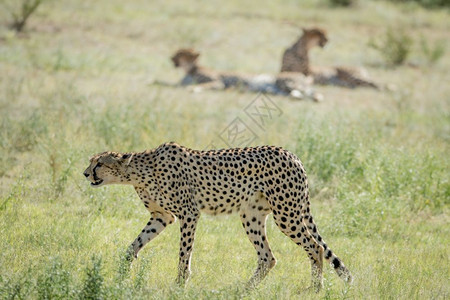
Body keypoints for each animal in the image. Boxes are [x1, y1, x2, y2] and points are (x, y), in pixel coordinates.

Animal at [83, 142, 352, 290]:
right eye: (91, 161)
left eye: (99, 163)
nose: (85, 173)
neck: (140, 172)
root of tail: (291, 154)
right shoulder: (162, 216)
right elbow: (134, 245)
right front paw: (121, 271)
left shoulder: (189, 214)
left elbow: (184, 253)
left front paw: (180, 284)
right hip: (251, 215)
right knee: (268, 257)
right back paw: (244, 290)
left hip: (287, 214)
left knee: (315, 247)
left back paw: (314, 289)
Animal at [171, 48, 322, 101]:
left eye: (180, 53)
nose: (171, 57)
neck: (191, 69)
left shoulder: (218, 82)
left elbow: (204, 85)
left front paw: (193, 88)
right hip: (279, 90)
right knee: (302, 93)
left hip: (286, 83)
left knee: (312, 92)